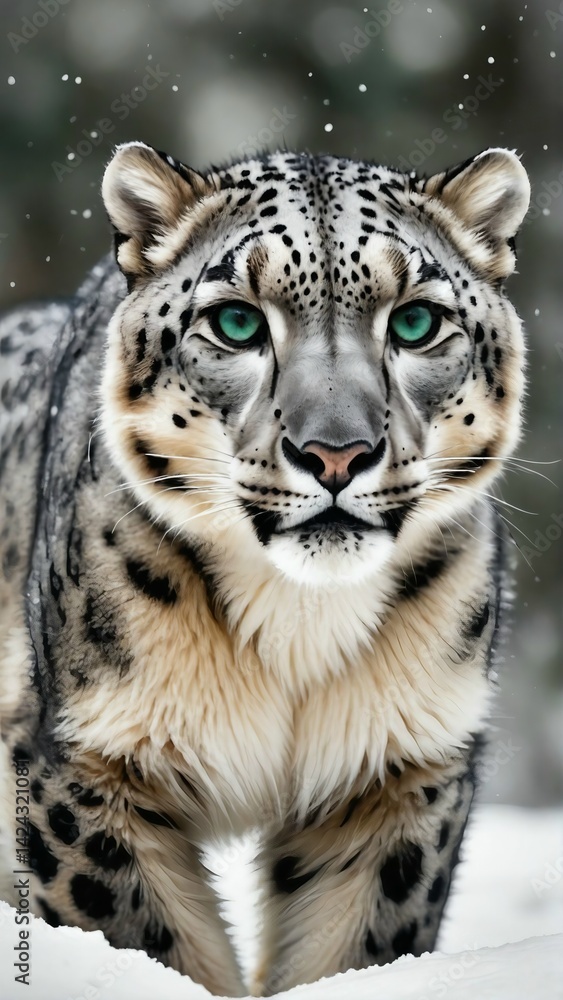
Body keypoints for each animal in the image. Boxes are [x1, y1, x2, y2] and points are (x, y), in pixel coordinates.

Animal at [0, 141, 530, 996]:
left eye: (415, 320)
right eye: (237, 321)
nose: (337, 453)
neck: (298, 625)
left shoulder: (400, 767)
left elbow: (352, 942)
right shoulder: (87, 759)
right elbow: (148, 938)